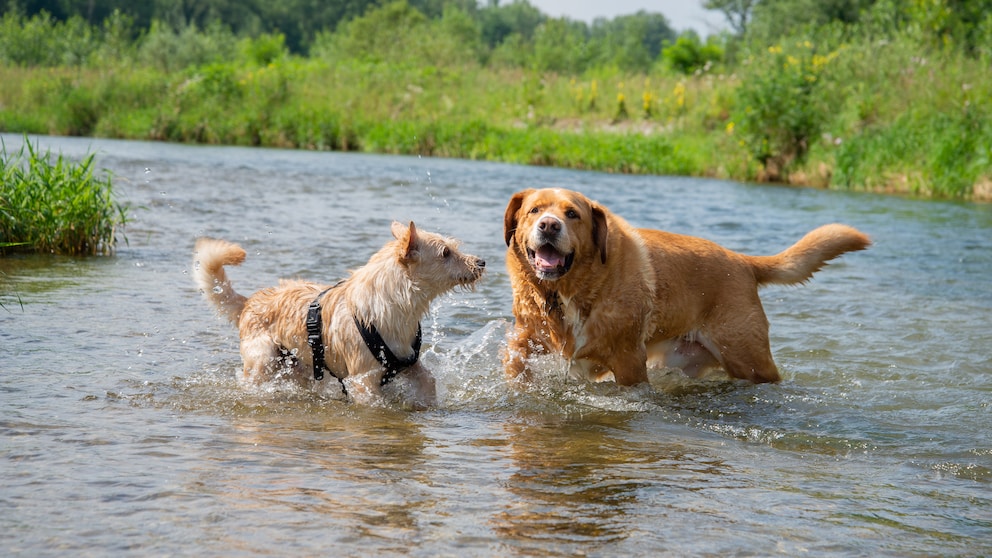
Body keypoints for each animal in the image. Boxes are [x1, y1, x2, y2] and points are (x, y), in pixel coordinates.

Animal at [193, 221, 484, 410]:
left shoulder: (409, 364)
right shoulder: (363, 381)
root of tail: (250, 301)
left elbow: (428, 381)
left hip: (299, 367)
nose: (481, 262)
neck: (393, 305)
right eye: (445, 253)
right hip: (263, 362)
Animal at [504, 190, 868, 388]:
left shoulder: (629, 361)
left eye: (572, 214)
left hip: (749, 358)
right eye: (535, 210)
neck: (568, 293)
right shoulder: (527, 336)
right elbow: (515, 359)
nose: (549, 225)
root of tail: (743, 260)